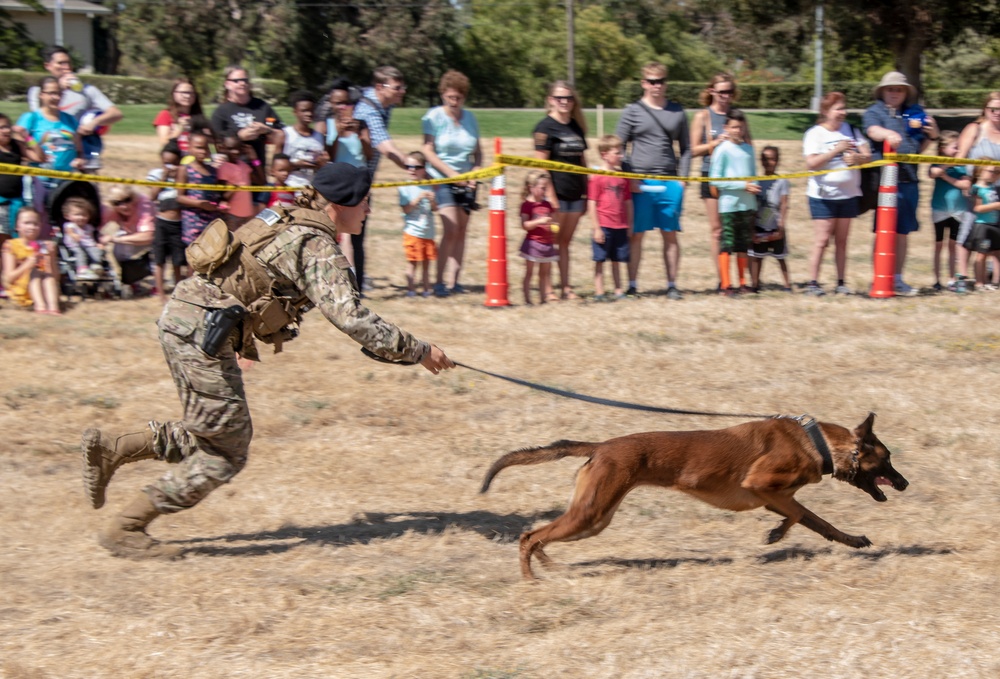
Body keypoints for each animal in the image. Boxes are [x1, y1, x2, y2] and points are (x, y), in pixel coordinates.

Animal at [480, 414, 912, 580]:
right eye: (888, 459)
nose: (905, 483)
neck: (817, 442)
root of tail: (602, 447)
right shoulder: (760, 484)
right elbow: (810, 518)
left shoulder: (774, 495)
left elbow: (809, 519)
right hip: (592, 512)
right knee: (529, 535)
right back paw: (530, 579)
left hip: (595, 517)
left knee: (540, 536)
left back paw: (546, 566)